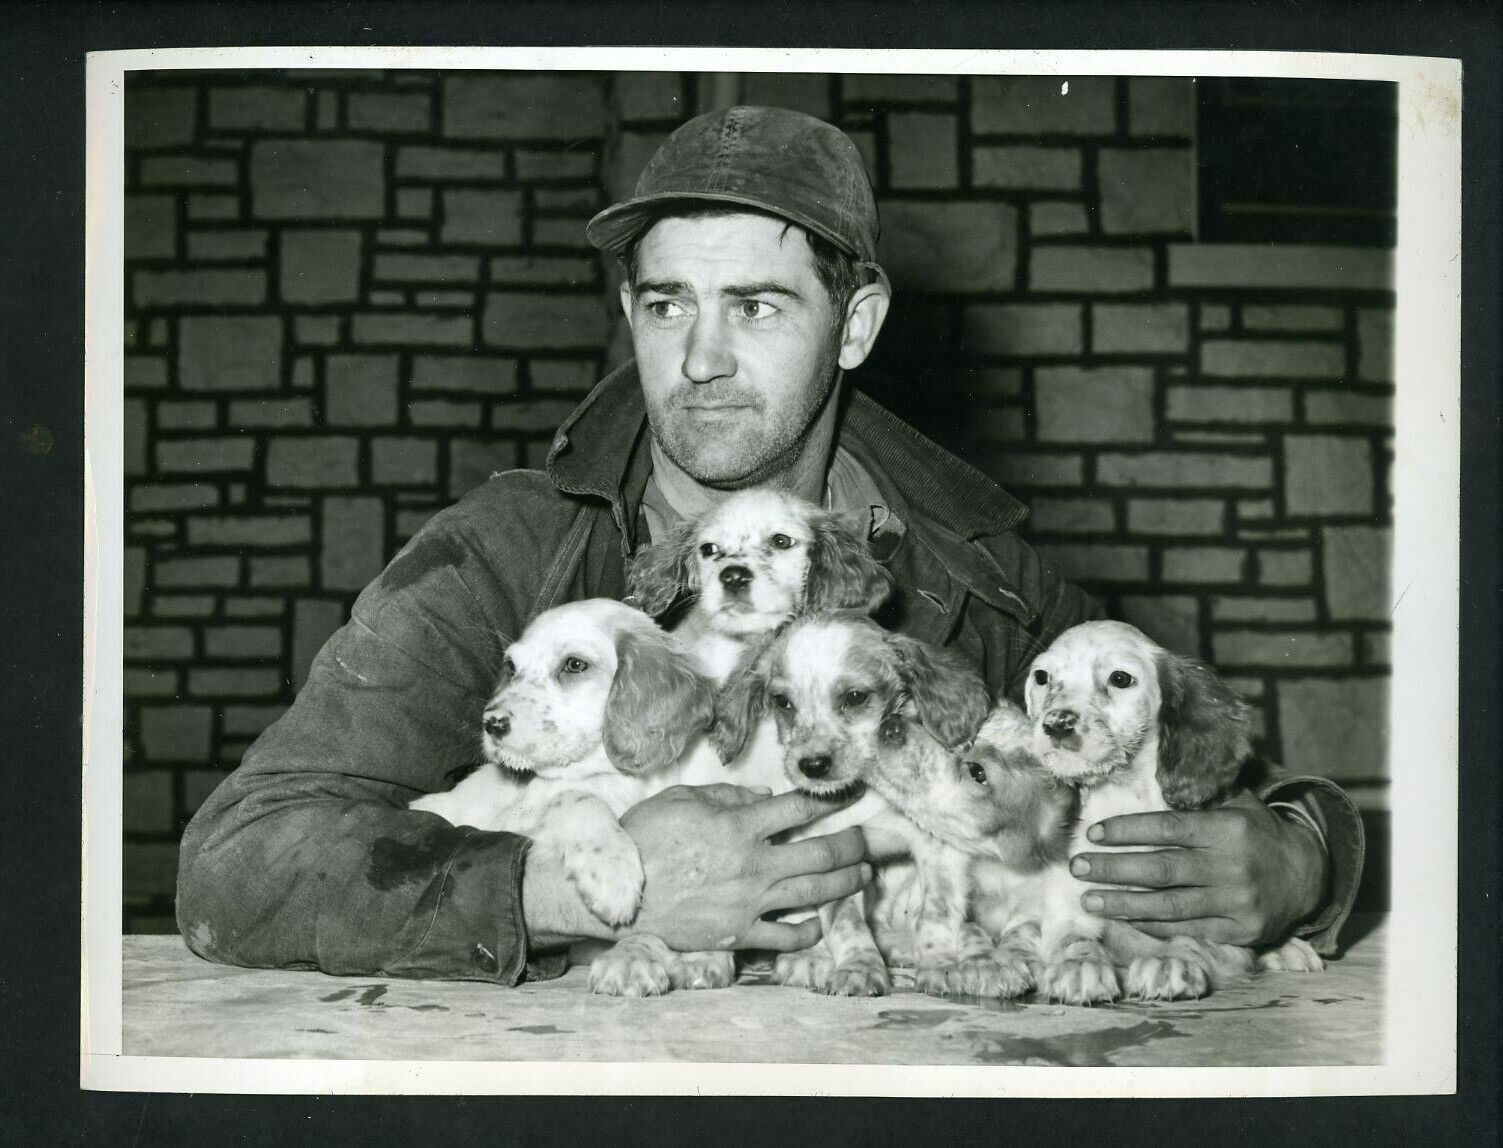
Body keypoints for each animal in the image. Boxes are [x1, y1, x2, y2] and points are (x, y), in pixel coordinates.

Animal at [408, 595, 736, 991]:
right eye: (511, 667)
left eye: (574, 665)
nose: (492, 723)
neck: (608, 774)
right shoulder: (518, 819)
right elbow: (575, 798)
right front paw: (611, 871)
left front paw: (695, 955)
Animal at [709, 610, 991, 997]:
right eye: (782, 702)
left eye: (855, 697)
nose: (812, 765)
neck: (867, 790)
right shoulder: (834, 854)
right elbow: (845, 921)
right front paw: (860, 967)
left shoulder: (939, 850)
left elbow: (937, 913)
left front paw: (941, 964)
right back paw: (810, 958)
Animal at [1028, 619, 1322, 1003]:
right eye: (1042, 677)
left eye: (1120, 678)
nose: (1057, 723)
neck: (1121, 796)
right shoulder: (1070, 904)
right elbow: (1073, 939)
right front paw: (1078, 967)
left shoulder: (1214, 922)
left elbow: (1191, 938)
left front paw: (1171, 961)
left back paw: (1289, 948)